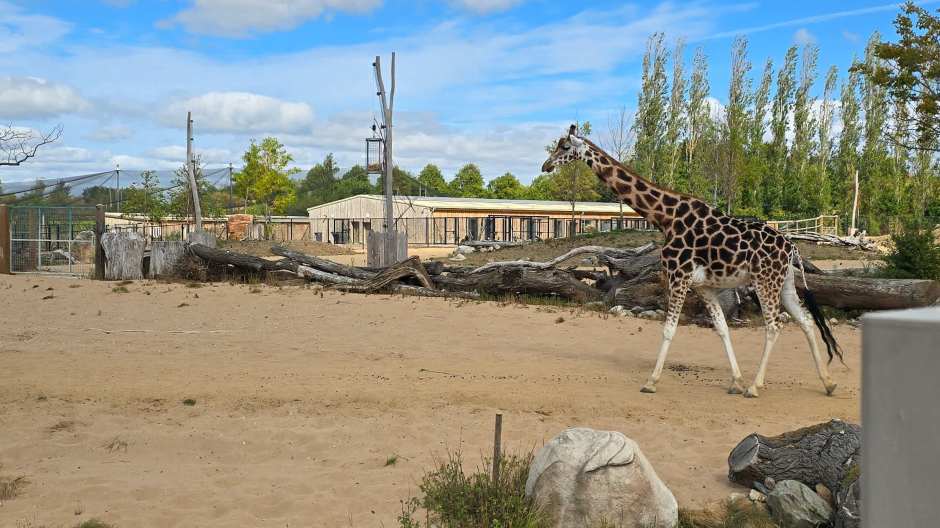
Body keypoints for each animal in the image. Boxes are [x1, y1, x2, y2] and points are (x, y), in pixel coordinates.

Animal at [542, 125, 842, 397]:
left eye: (564, 147)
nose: (546, 165)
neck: (665, 218)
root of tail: (792, 247)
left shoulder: (678, 276)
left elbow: (669, 329)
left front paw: (651, 382)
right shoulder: (703, 286)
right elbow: (722, 329)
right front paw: (735, 381)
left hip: (764, 281)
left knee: (774, 326)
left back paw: (756, 387)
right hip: (785, 283)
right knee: (806, 321)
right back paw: (828, 383)